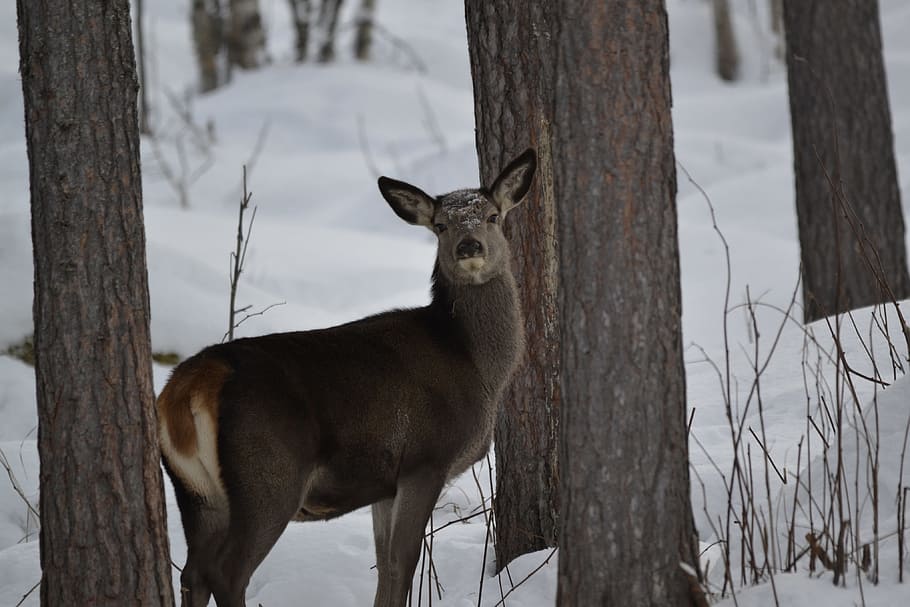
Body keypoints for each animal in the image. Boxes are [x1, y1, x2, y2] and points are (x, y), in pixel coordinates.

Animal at [156, 149, 537, 607]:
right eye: (441, 225)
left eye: (493, 216)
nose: (469, 246)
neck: (475, 365)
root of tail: (187, 387)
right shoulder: (426, 459)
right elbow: (403, 563)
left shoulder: (384, 485)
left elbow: (385, 567)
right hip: (268, 476)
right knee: (226, 571)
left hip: (196, 492)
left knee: (192, 572)